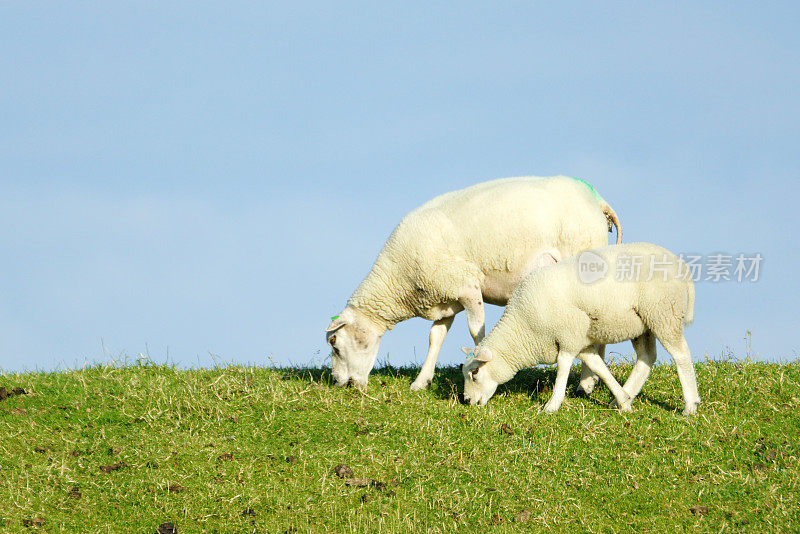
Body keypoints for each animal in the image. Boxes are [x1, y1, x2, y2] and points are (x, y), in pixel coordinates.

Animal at [322, 176, 620, 390]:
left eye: (334, 343)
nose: (339, 383)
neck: (399, 279)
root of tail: (599, 202)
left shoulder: (467, 287)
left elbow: (477, 332)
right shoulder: (444, 296)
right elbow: (435, 338)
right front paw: (421, 382)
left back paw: (586, 383)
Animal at [462, 244, 700, 418]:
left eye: (475, 373)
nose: (467, 401)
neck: (524, 327)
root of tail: (680, 266)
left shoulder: (568, 334)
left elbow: (563, 366)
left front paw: (552, 405)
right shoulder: (580, 340)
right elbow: (598, 366)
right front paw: (623, 400)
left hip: (663, 313)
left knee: (681, 355)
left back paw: (690, 405)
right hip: (643, 323)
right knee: (647, 357)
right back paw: (624, 397)